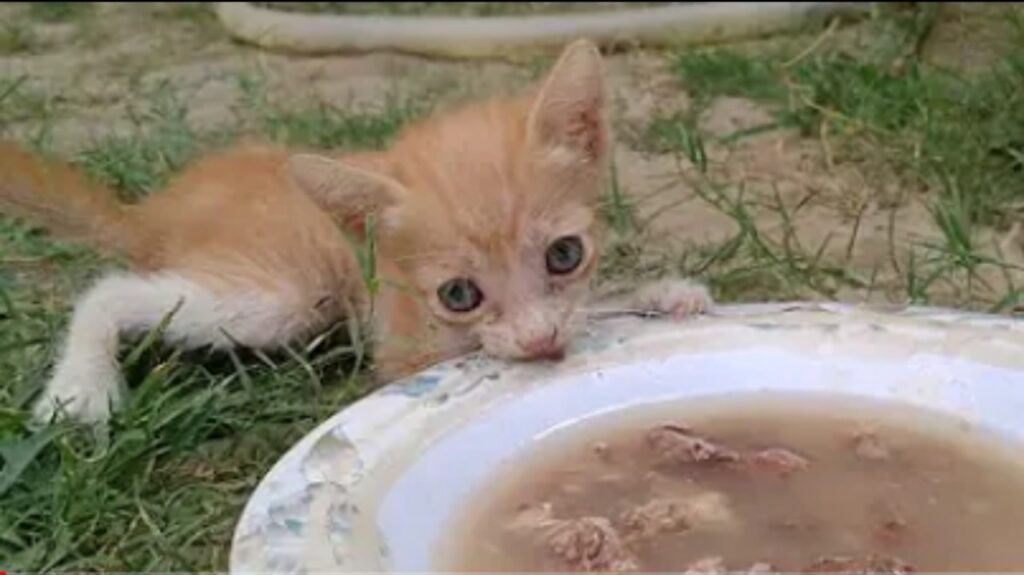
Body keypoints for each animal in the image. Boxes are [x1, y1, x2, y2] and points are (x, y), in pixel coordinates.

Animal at [0, 40, 712, 423]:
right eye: (459, 296)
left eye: (565, 255)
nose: (541, 342)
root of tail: (156, 208)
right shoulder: (404, 353)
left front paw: (662, 294)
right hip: (290, 292)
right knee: (110, 288)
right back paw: (81, 387)